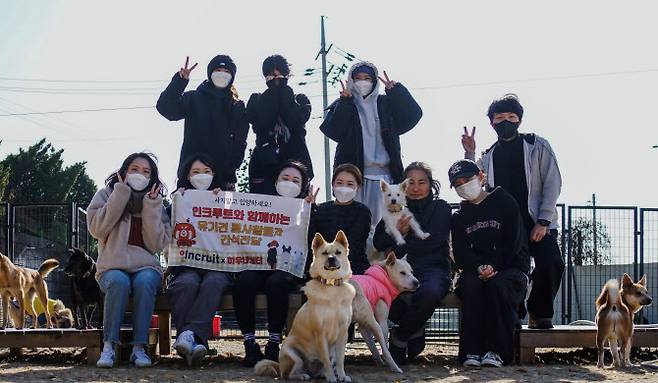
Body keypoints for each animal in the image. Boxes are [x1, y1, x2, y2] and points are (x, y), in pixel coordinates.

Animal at [255, 232, 356, 382]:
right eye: (325, 253)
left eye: (338, 252)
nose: (331, 258)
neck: (331, 286)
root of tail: (279, 365)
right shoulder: (320, 332)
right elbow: (325, 359)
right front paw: (332, 378)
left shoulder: (343, 333)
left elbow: (340, 360)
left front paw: (342, 376)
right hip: (293, 354)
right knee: (288, 374)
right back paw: (303, 375)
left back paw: (321, 373)